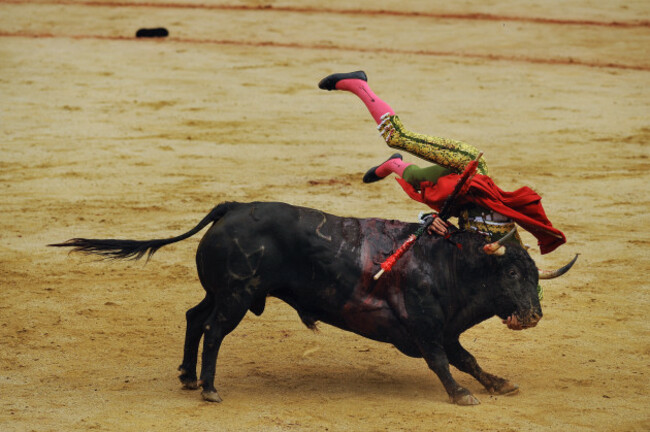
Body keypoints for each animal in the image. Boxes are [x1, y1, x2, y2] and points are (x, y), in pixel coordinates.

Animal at [52, 202, 576, 404]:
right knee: (214, 331)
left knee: (194, 318)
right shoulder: (427, 329)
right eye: (512, 273)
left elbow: (468, 359)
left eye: (535, 276)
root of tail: (232, 208)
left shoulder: (445, 329)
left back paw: (186, 376)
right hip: (237, 296)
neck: (446, 262)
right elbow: (444, 363)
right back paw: (209, 388)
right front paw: (462, 395)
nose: (533, 316)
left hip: (220, 292)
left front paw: (499, 383)